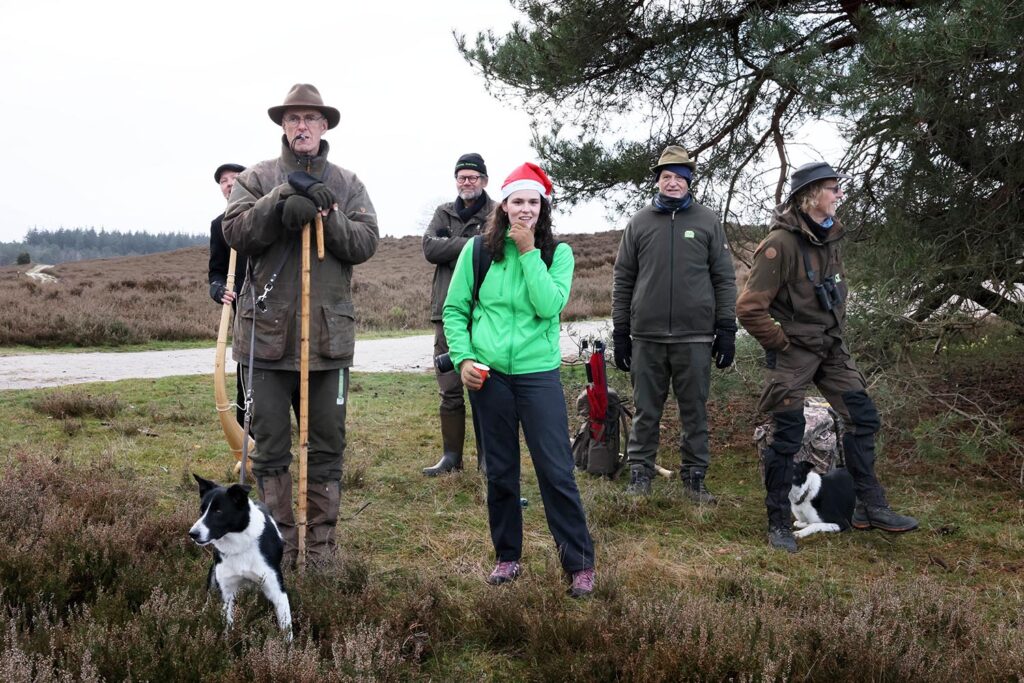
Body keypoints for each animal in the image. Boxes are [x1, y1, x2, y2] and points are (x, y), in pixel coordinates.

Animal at [189, 475, 292, 643]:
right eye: (201, 510)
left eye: (218, 511)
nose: (192, 533)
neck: (239, 544)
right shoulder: (227, 592)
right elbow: (228, 624)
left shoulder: (278, 592)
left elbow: (286, 629)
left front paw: (287, 649)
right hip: (213, 574)